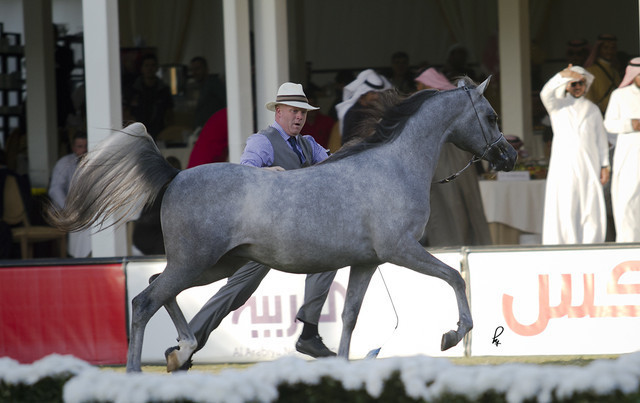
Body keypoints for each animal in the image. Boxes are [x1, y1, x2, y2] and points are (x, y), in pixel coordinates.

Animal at [47, 77, 517, 372]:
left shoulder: (367, 262)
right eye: (491, 115)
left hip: (211, 265)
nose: (509, 157)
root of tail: (174, 174)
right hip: (195, 263)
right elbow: (455, 276)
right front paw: (452, 335)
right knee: (145, 301)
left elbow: (349, 316)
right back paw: (140, 371)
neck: (393, 166)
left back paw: (183, 351)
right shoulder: (402, 250)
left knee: (156, 289)